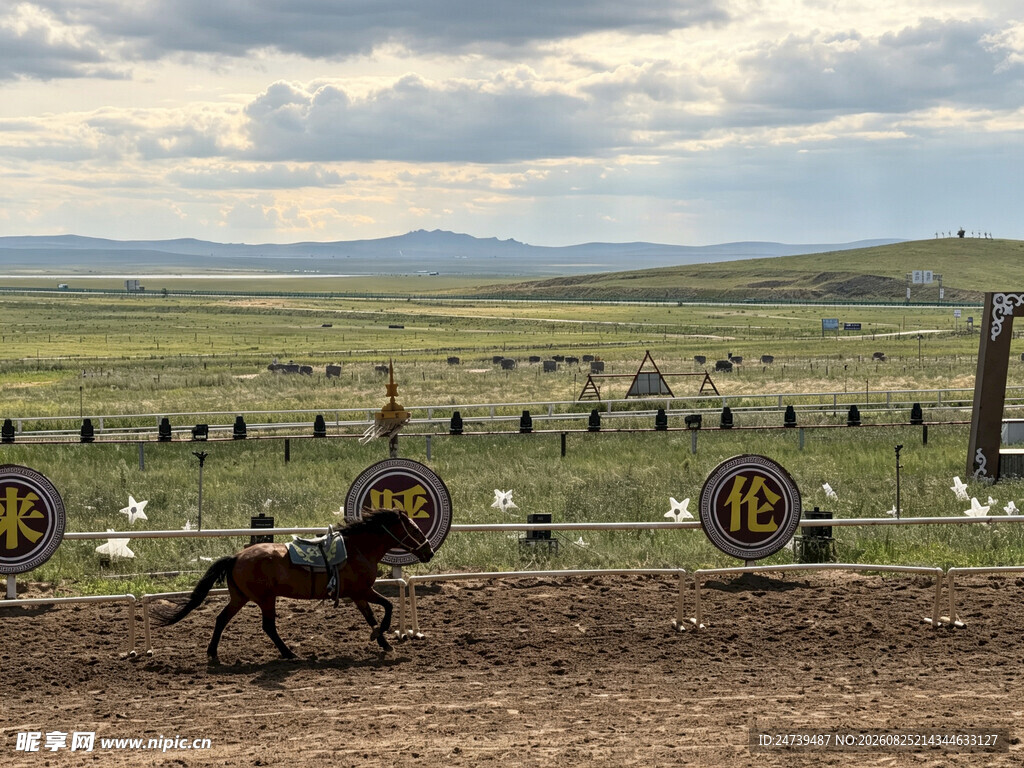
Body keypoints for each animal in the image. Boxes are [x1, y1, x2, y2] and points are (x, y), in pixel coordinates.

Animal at [153, 508, 432, 661]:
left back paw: (213, 653)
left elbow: (372, 616)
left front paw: (383, 642)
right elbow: (387, 607)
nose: (428, 551)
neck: (357, 548)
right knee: (268, 626)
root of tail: (236, 557)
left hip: (240, 597)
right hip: (265, 599)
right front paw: (379, 636)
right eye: (415, 530)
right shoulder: (361, 591)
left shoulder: (359, 595)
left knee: (221, 619)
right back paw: (288, 653)